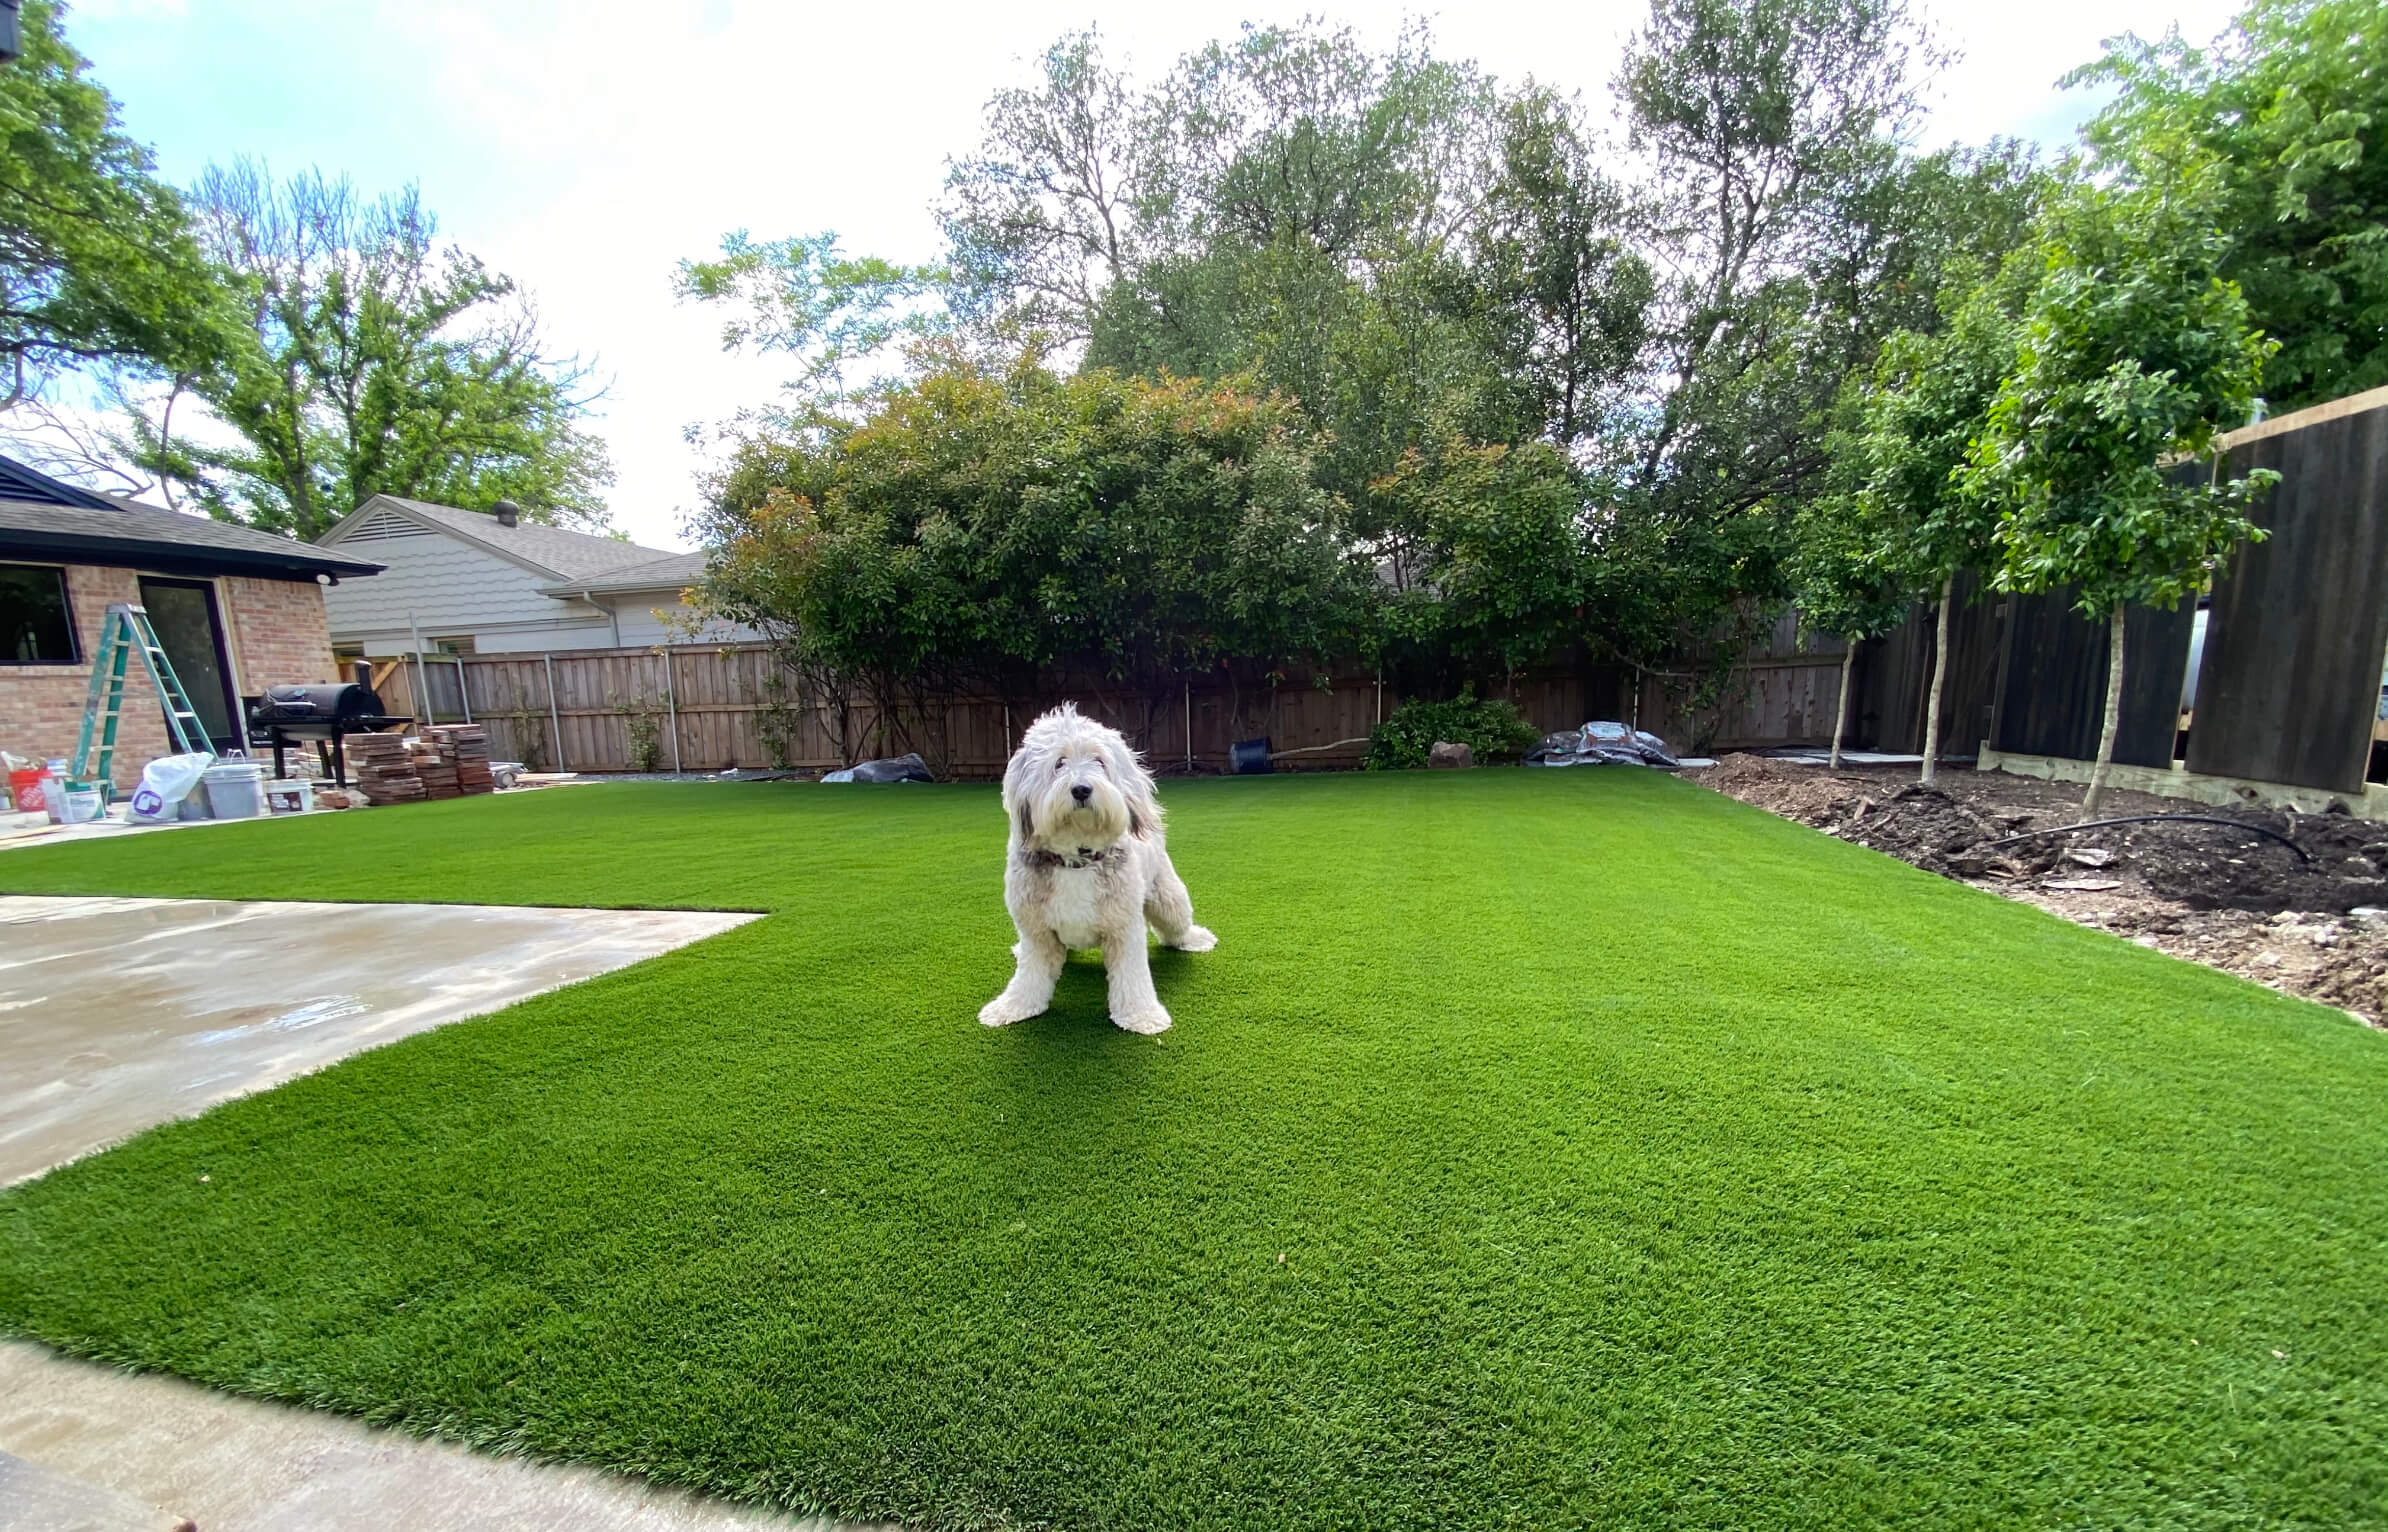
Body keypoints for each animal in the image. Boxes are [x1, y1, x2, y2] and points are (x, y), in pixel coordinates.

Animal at [979, 696, 1222, 1030]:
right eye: (1059, 763)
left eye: (1099, 761)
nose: (1081, 788)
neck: (1076, 858)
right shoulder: (1036, 932)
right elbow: (1030, 977)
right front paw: (1011, 1007)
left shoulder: (1124, 929)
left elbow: (1131, 977)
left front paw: (1142, 1016)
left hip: (1167, 897)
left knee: (1177, 926)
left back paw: (1196, 938)